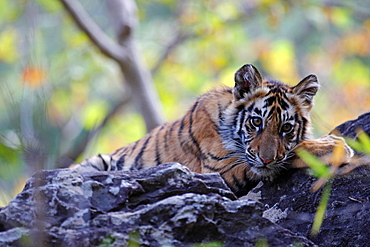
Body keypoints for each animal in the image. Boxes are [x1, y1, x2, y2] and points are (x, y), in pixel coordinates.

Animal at [71, 64, 354, 197]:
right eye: (256, 122)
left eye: (286, 127)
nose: (266, 159)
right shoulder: (217, 171)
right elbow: (292, 153)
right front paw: (333, 145)